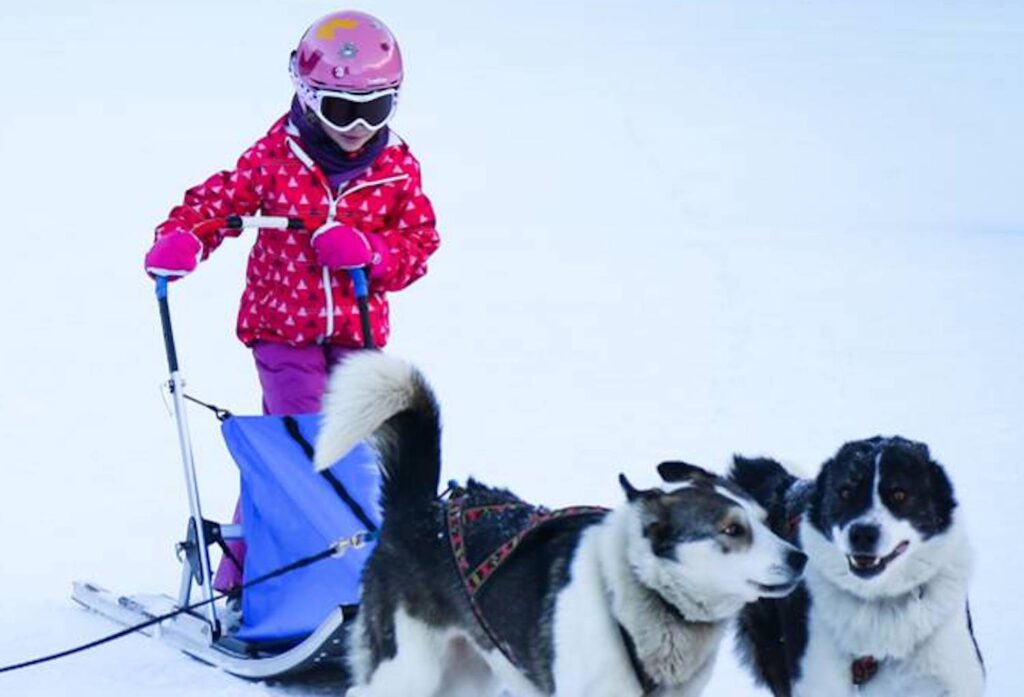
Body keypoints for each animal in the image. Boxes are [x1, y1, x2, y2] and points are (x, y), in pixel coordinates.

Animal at [311, 354, 806, 695]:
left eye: (767, 522)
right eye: (731, 530)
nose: (799, 558)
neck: (639, 596)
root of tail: (419, 511)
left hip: (469, 673)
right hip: (409, 669)